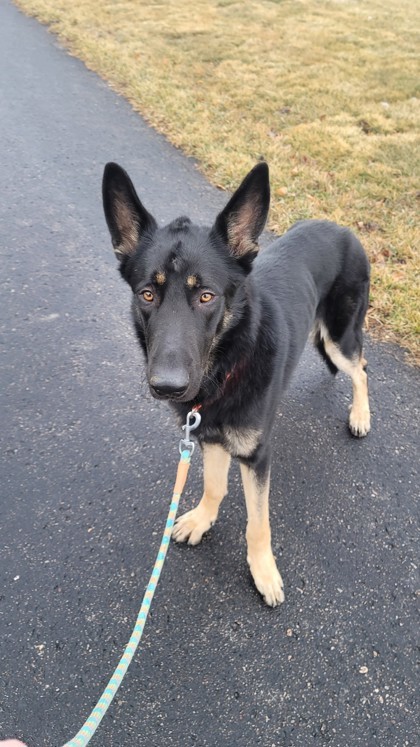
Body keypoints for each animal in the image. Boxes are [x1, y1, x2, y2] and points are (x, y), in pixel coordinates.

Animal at [101, 164, 370, 608]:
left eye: (207, 296)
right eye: (148, 294)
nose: (168, 387)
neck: (225, 367)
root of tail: (343, 230)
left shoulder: (257, 456)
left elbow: (258, 522)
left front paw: (263, 569)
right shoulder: (209, 437)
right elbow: (214, 485)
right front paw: (203, 518)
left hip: (339, 337)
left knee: (361, 368)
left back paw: (361, 415)